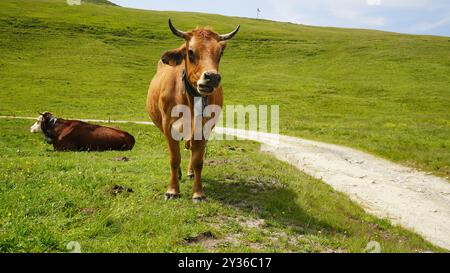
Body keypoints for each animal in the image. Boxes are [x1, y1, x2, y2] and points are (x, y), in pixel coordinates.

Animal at [147, 19, 239, 202]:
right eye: (190, 52)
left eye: (220, 53)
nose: (212, 77)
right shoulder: (168, 125)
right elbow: (174, 159)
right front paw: (172, 190)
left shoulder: (204, 128)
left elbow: (198, 161)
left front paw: (198, 193)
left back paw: (189, 172)